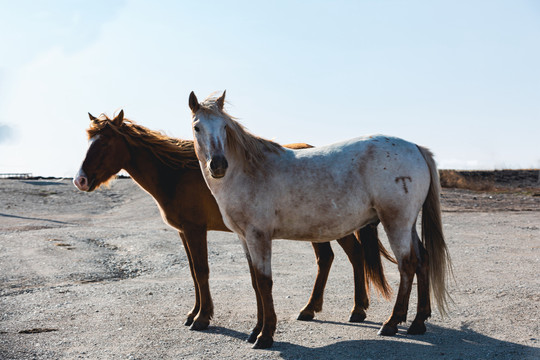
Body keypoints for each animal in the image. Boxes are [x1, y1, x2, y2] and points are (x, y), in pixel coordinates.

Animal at [71, 110, 394, 334]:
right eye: (89, 142)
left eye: (104, 143)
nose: (80, 180)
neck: (177, 174)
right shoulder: (184, 233)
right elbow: (193, 273)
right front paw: (194, 314)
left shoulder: (195, 230)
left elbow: (202, 271)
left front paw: (202, 318)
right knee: (331, 258)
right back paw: (315, 309)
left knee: (352, 256)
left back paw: (356, 309)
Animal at [189, 90, 452, 348]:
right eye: (197, 127)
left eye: (224, 127)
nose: (218, 165)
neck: (249, 171)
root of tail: (416, 147)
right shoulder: (245, 239)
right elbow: (255, 282)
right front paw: (256, 331)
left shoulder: (259, 236)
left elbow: (264, 283)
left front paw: (265, 335)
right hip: (408, 225)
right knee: (423, 260)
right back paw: (418, 322)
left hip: (396, 223)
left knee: (407, 265)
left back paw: (391, 322)